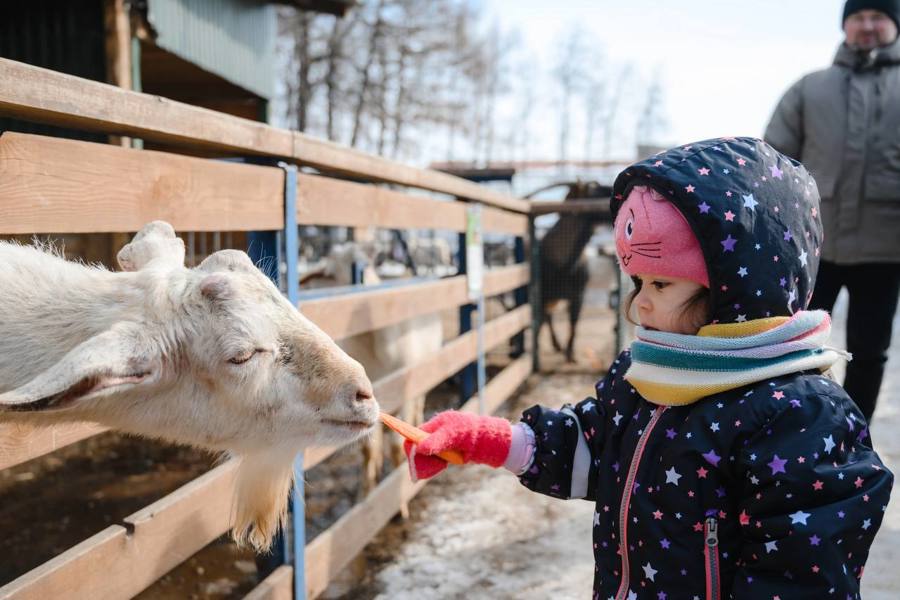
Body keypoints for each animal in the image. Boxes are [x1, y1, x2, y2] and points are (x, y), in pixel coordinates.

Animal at [532, 182, 616, 360]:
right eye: (594, 191)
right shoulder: (542, 294)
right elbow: (540, 321)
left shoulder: (578, 294)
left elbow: (574, 321)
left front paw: (570, 353)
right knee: (547, 317)